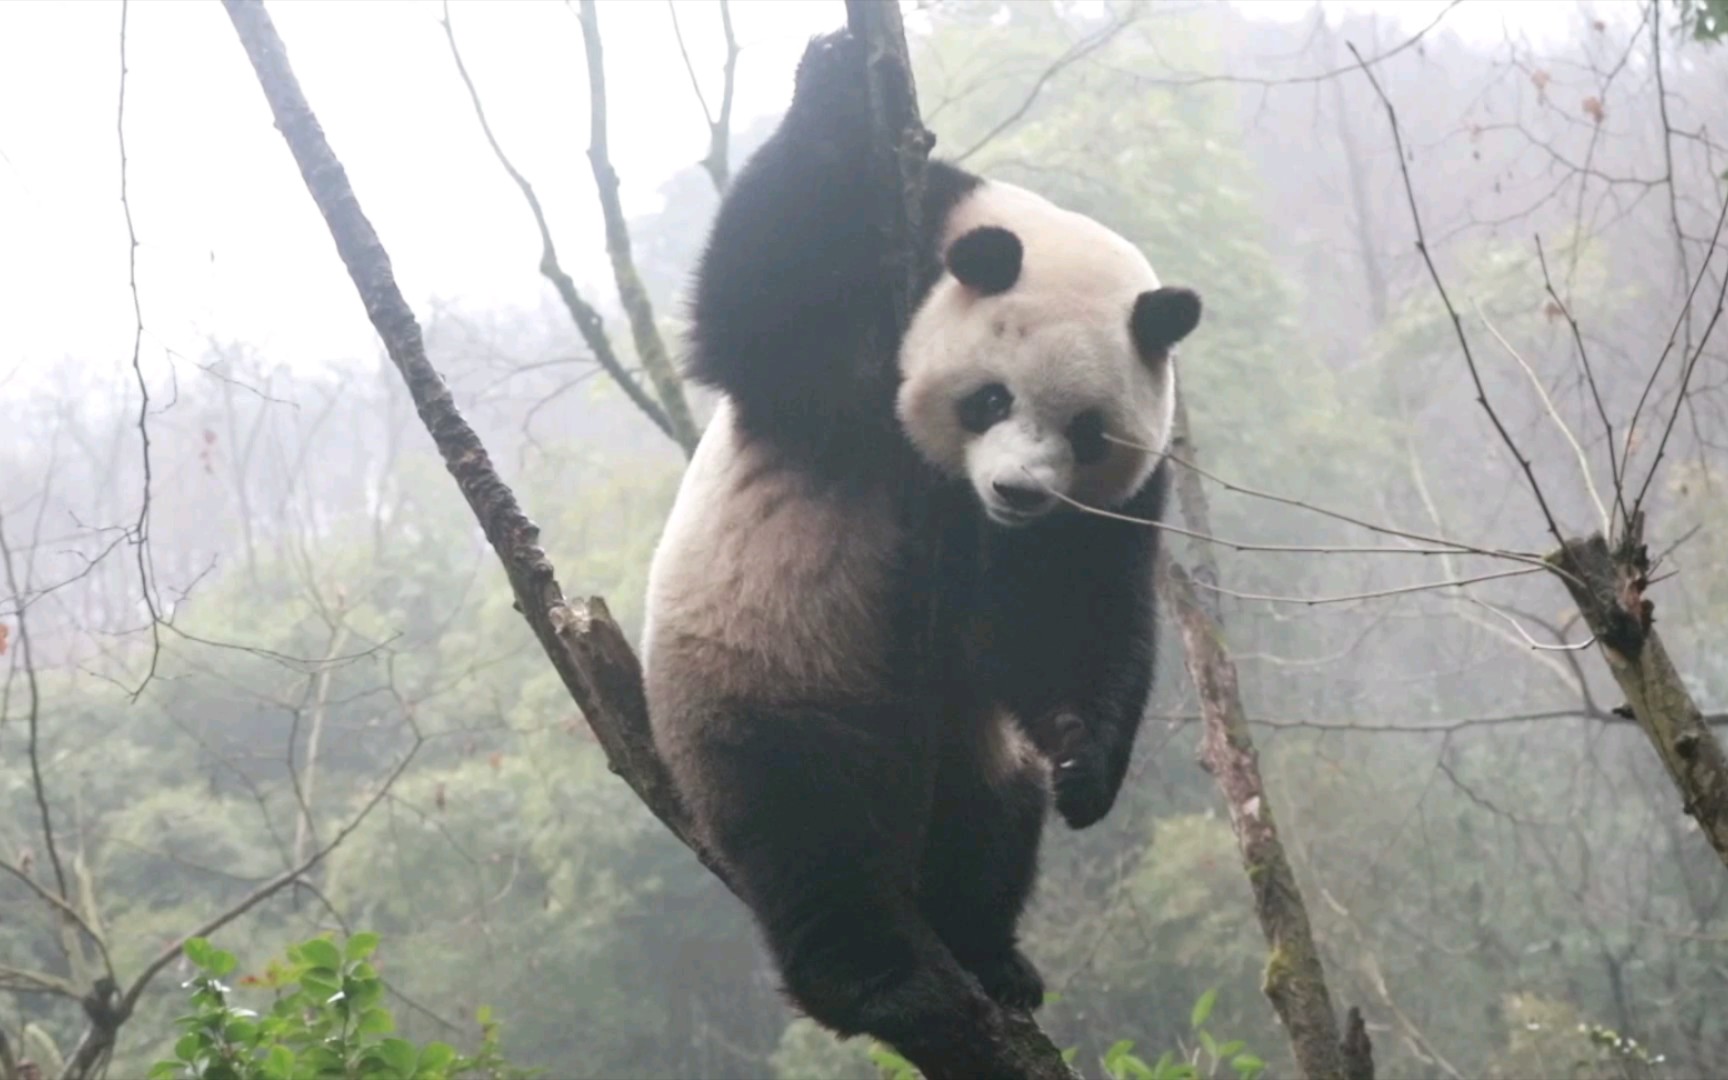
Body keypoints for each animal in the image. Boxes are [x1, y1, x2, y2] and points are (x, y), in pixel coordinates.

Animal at [639, 25, 1202, 1071]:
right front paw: (828, 83)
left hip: (965, 742)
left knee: (990, 827)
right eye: (991, 399)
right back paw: (880, 978)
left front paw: (1083, 763)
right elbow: (756, 304)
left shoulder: (1094, 506)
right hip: (761, 676)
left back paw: (991, 954)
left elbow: (1070, 602)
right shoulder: (855, 337)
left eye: (1088, 432)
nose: (1018, 493)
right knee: (807, 831)